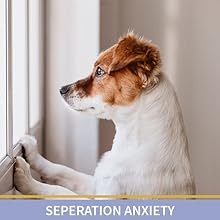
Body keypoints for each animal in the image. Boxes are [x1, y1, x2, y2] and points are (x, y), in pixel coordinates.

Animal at [13, 32, 195, 194]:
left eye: (99, 71)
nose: (61, 89)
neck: (131, 144)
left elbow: (59, 191)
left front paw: (27, 179)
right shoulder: (97, 183)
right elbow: (62, 170)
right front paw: (33, 153)